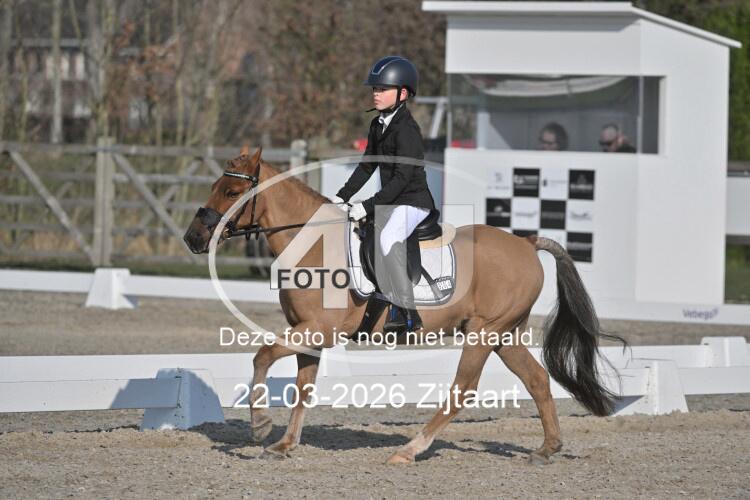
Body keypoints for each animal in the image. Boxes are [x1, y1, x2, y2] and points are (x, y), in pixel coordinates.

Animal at [183, 147, 623, 465]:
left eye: (232, 193)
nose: (193, 238)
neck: (311, 243)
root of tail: (527, 244)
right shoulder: (309, 333)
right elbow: (302, 389)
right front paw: (284, 445)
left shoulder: (317, 329)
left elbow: (261, 355)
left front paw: (260, 426)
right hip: (504, 334)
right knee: (537, 380)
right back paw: (547, 449)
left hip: (484, 333)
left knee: (462, 390)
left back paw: (409, 450)